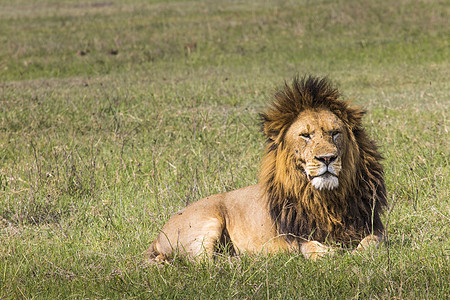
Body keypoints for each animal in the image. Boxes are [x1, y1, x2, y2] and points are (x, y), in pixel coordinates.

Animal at [146, 76, 388, 262]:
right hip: (206, 224)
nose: (327, 158)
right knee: (204, 264)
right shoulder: (294, 236)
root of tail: (157, 236)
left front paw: (357, 253)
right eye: (306, 135)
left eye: (335, 133)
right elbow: (310, 247)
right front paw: (329, 253)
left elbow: (372, 242)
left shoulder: (374, 227)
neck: (327, 199)